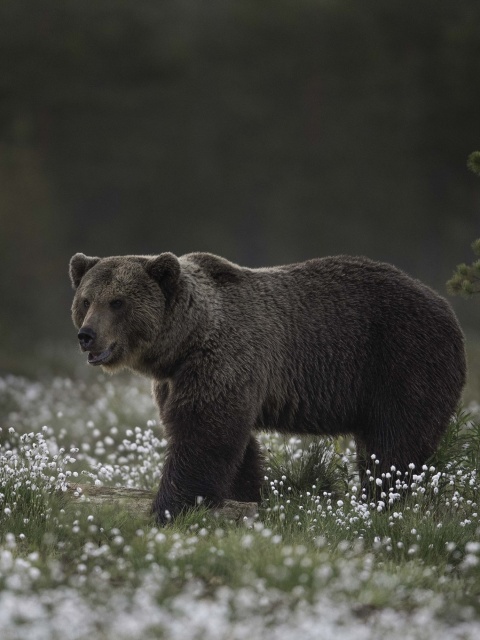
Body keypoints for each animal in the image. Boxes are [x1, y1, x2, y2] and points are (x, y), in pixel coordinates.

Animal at [68, 250, 464, 520]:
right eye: (86, 300)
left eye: (117, 302)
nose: (86, 335)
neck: (185, 342)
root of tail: (446, 306)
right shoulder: (177, 380)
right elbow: (232, 445)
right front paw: (246, 496)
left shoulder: (224, 359)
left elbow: (203, 435)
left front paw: (169, 507)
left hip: (402, 360)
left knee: (395, 443)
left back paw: (378, 499)